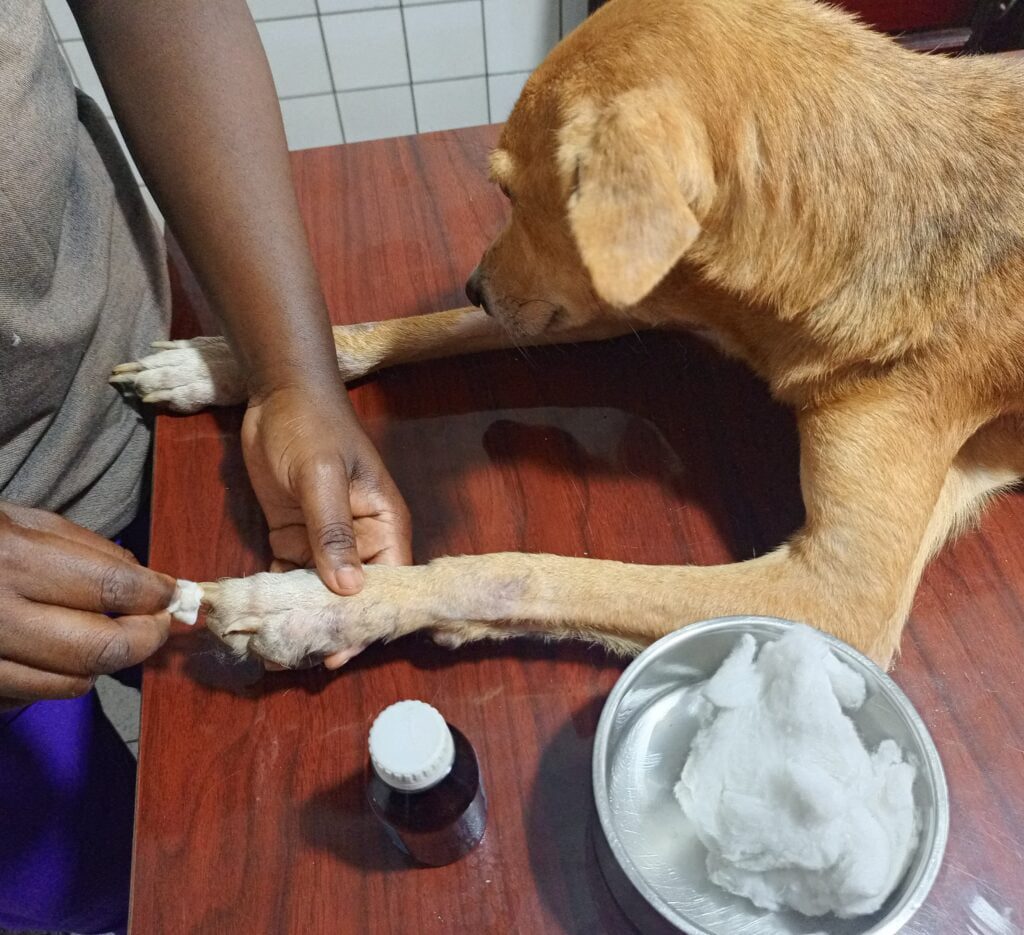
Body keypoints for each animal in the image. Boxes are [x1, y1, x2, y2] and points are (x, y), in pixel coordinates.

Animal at [114, 0, 1024, 667]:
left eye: (514, 194)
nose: (476, 286)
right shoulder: (627, 287)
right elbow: (422, 329)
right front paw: (220, 363)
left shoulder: (838, 597)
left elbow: (522, 570)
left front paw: (319, 604)